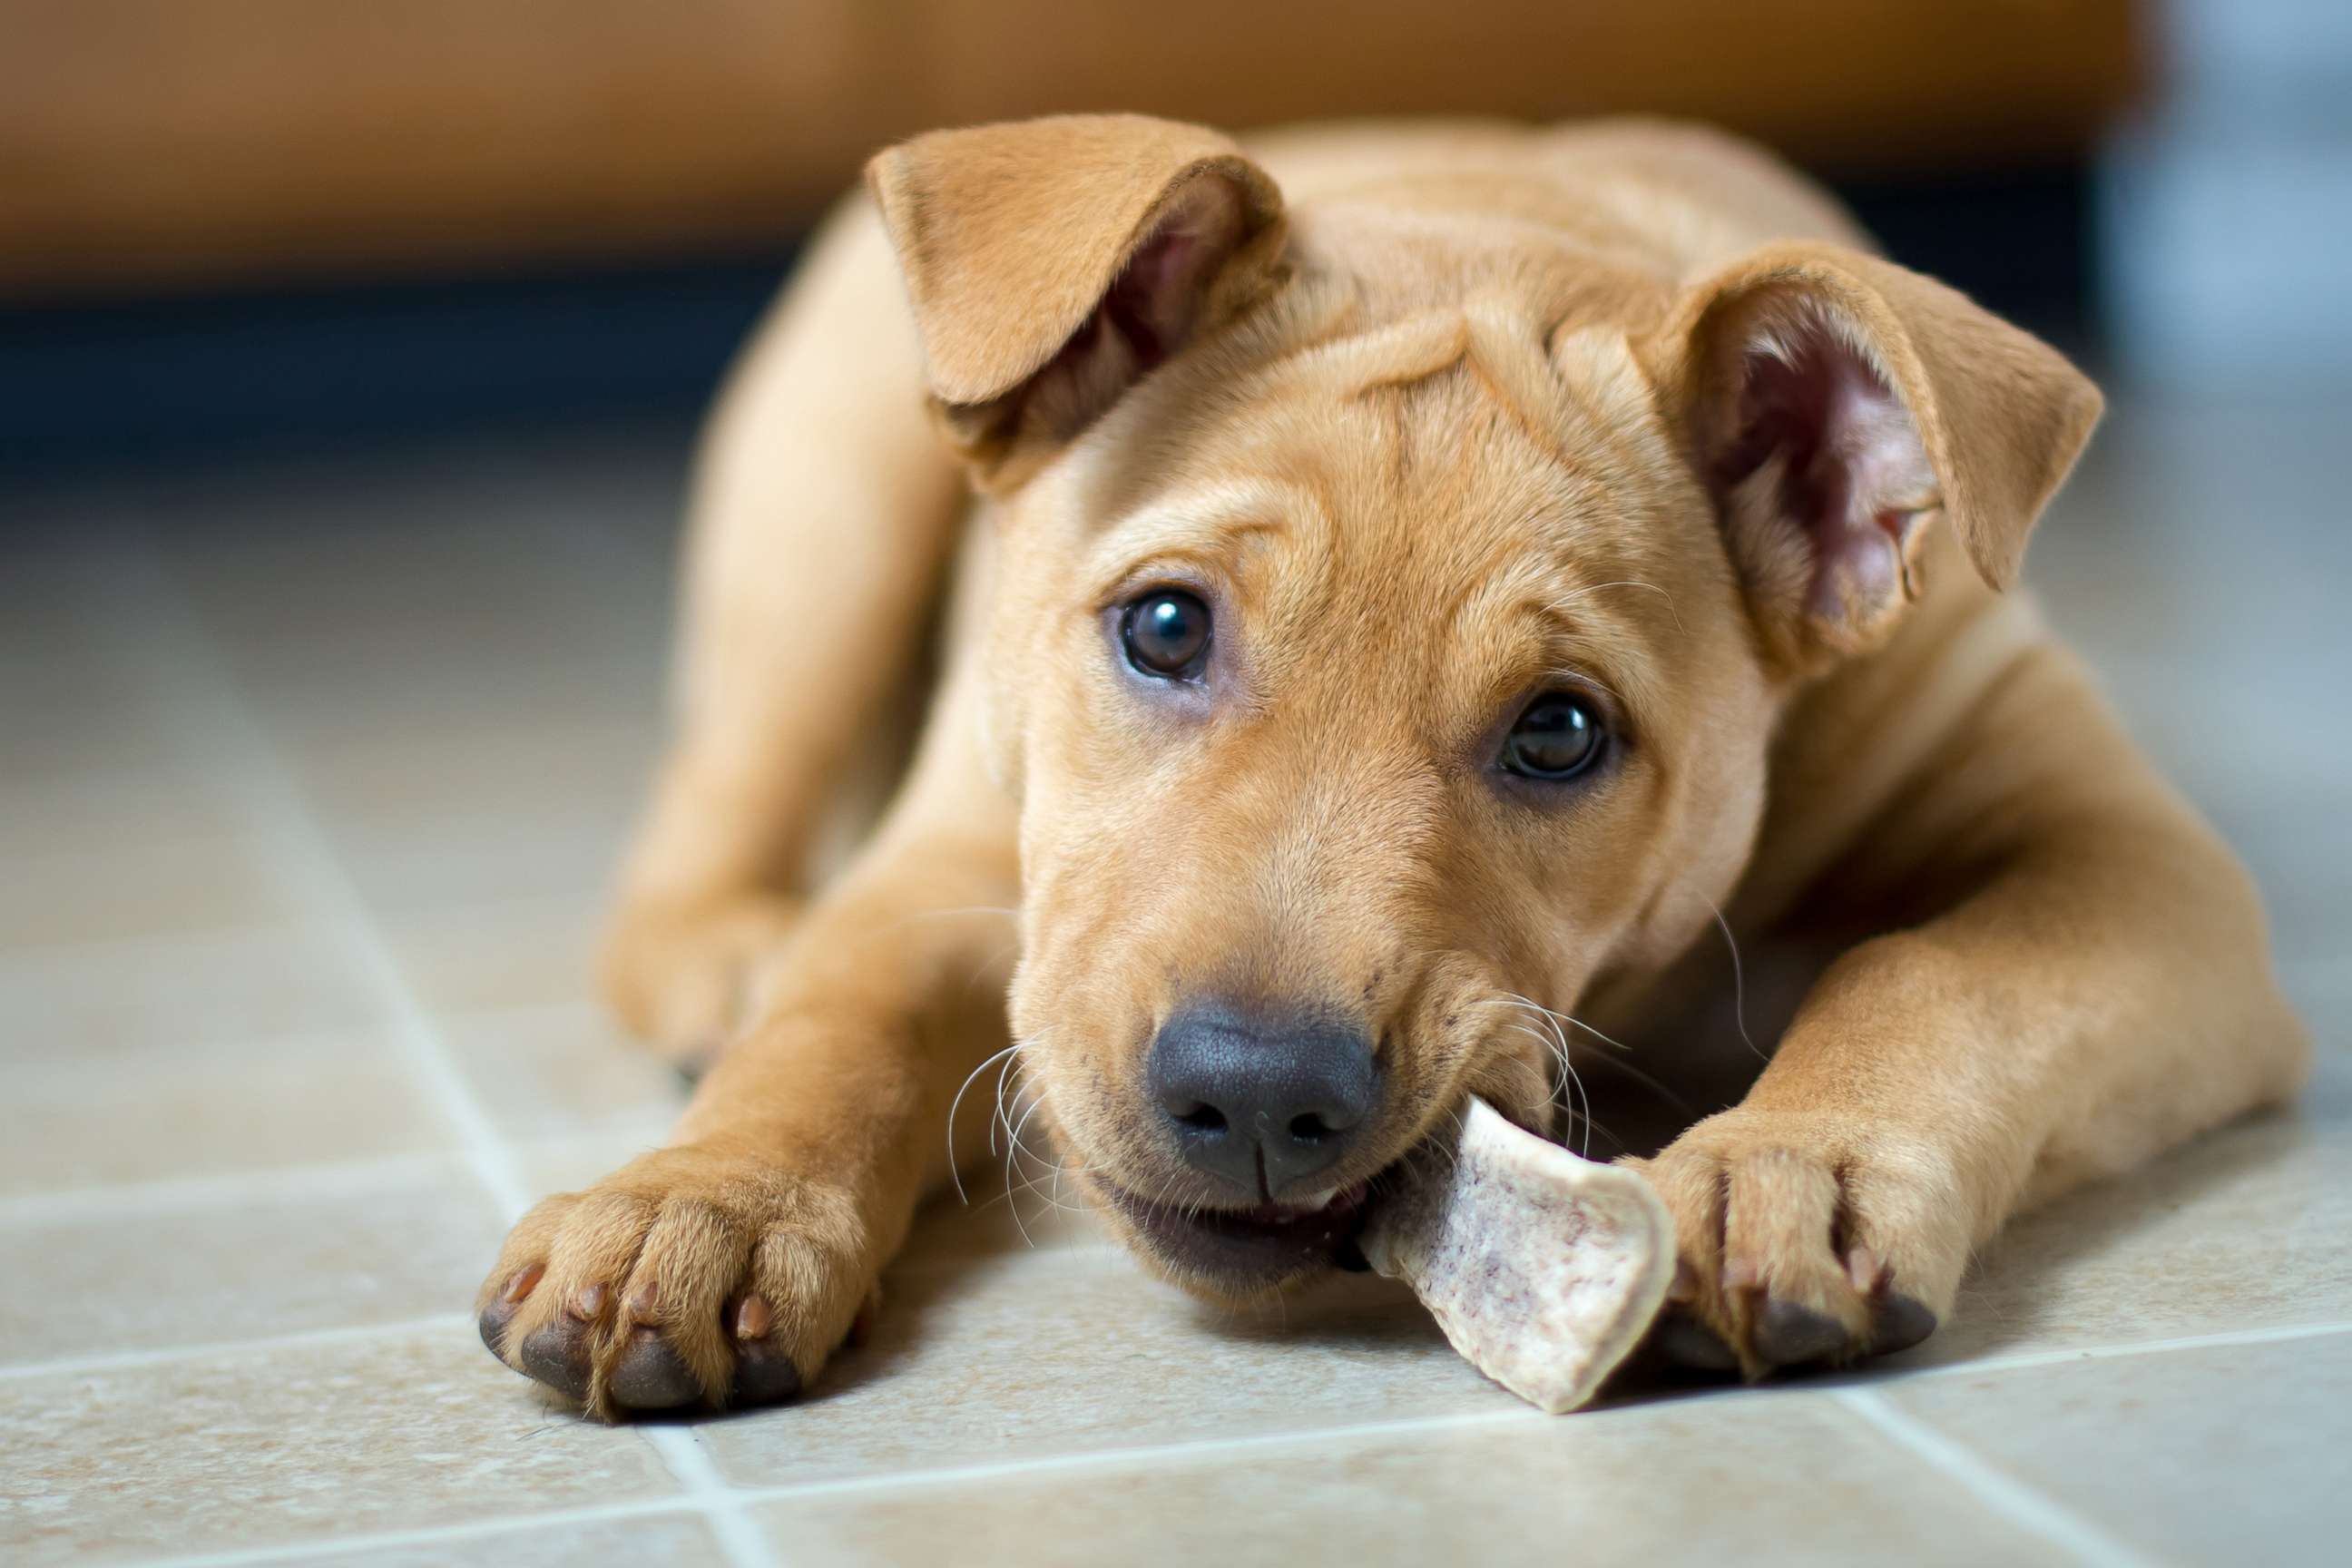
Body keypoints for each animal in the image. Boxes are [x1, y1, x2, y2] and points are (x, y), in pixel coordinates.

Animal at [467, 116, 2305, 1419]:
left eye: (1560, 729)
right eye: (1161, 627)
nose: (1256, 1098)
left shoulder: (2126, 859)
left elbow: (1933, 972)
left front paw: (1789, 1166)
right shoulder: (952, 860)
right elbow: (836, 1020)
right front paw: (696, 1204)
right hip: (826, 516)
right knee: (711, 827)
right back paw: (723, 959)